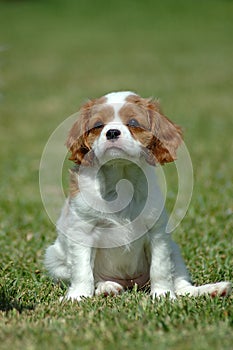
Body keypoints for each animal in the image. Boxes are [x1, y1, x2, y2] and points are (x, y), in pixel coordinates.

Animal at [44, 91, 231, 300]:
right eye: (98, 125)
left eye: (133, 122)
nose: (112, 132)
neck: (121, 179)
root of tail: (129, 283)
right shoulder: (82, 231)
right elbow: (82, 270)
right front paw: (77, 296)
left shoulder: (157, 233)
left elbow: (160, 268)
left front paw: (163, 295)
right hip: (54, 258)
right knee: (95, 277)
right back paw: (107, 287)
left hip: (174, 251)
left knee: (182, 285)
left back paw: (210, 290)